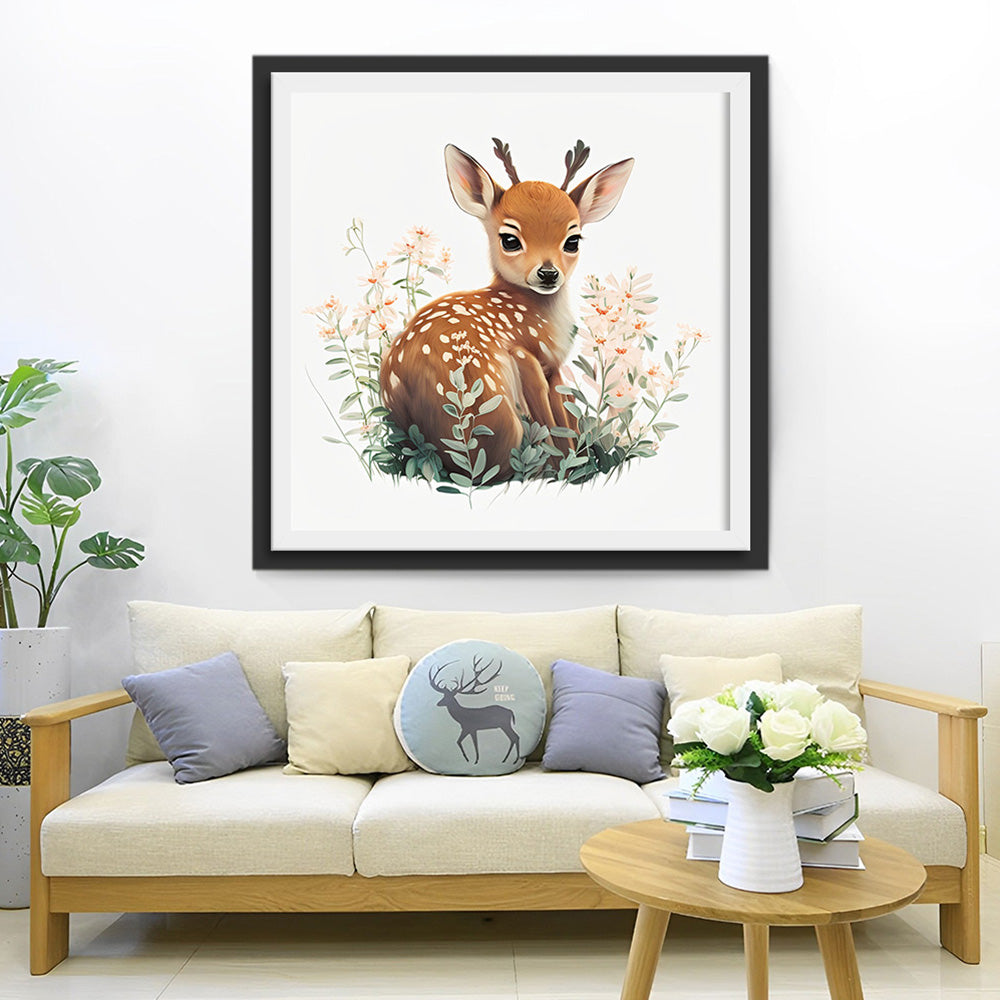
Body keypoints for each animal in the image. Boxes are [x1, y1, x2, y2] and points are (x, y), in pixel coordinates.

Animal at [379, 139, 634, 481]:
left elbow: (563, 414)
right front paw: (570, 469)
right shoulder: (525, 354)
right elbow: (549, 419)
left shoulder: (554, 366)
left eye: (573, 240)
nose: (548, 273)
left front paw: (578, 461)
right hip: (498, 412)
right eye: (510, 239)